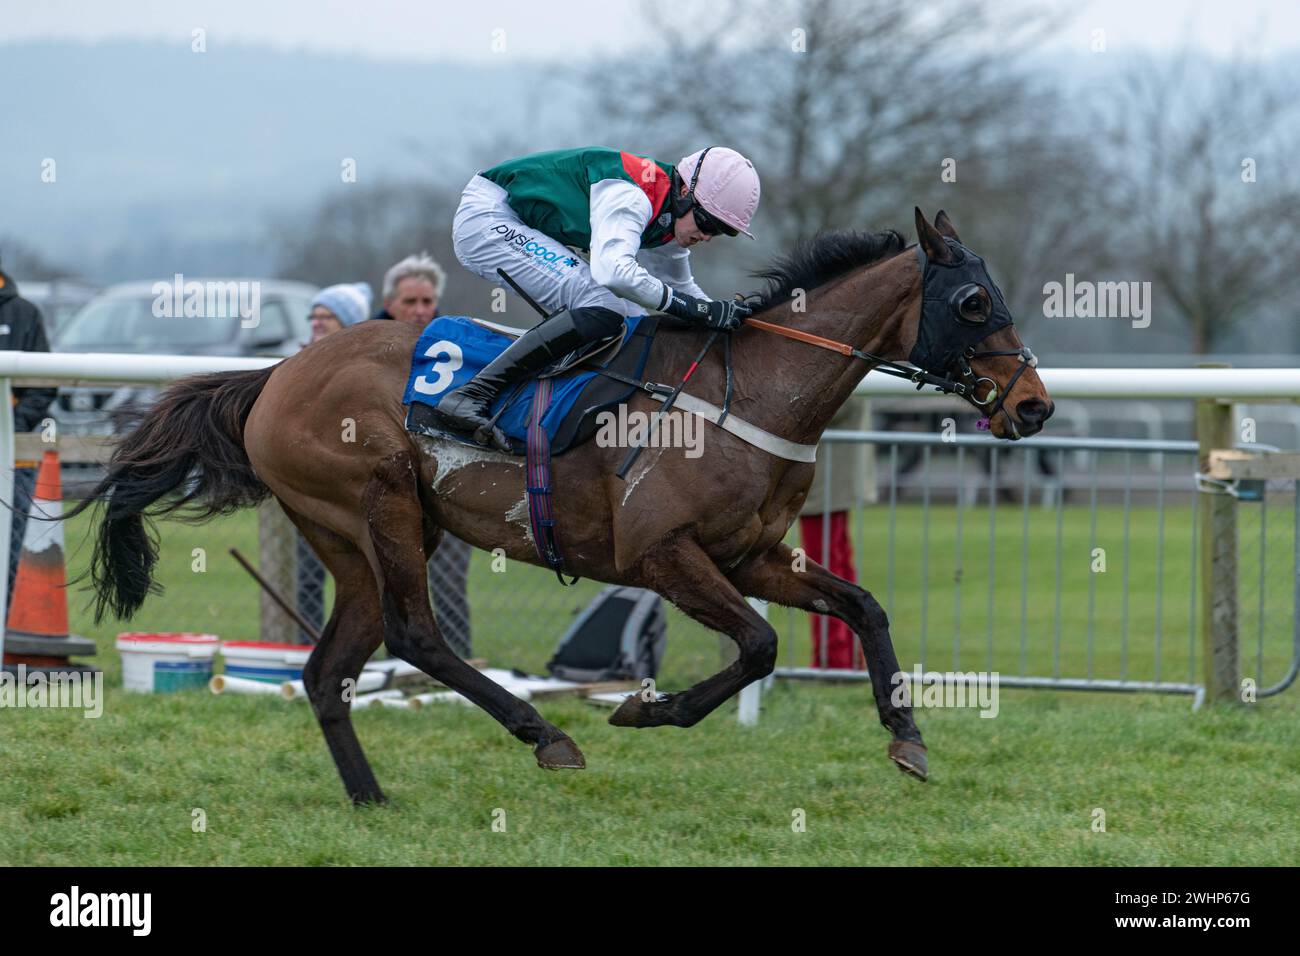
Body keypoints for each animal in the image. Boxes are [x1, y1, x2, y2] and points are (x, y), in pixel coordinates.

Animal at [68, 210, 1045, 806]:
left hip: (346, 538)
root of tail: (276, 373)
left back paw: (371, 796)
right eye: (973, 301)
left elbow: (863, 608)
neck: (750, 394)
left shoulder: (754, 555)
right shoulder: (664, 556)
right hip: (380, 504)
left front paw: (908, 738)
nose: (1035, 406)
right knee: (417, 635)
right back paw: (543, 734)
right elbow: (761, 646)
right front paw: (645, 710)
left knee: (329, 668)